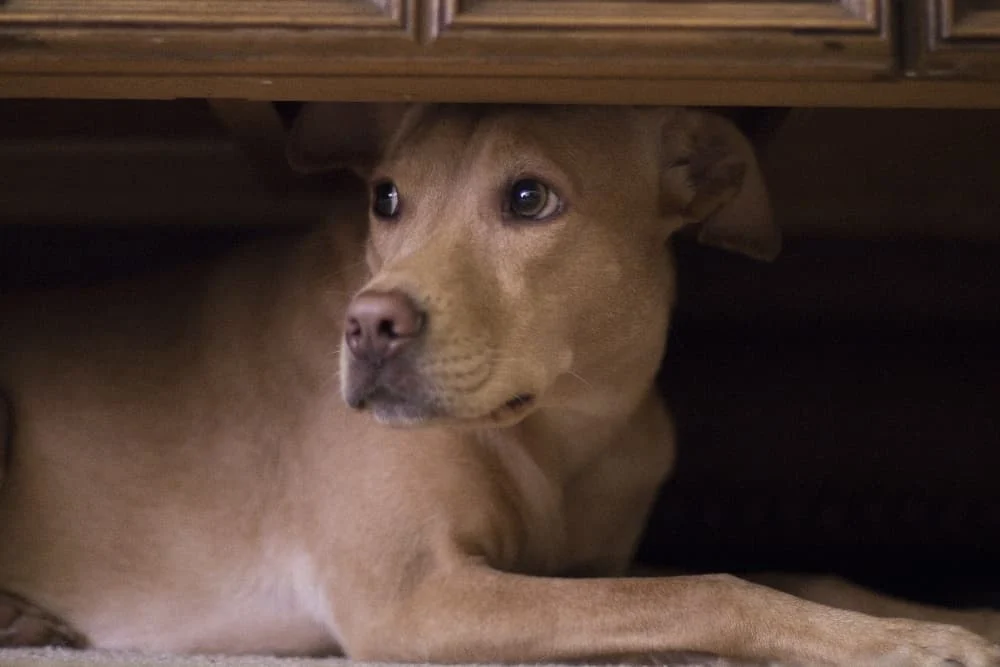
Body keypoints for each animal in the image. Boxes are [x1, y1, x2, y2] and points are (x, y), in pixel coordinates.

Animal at [1, 105, 1000, 667]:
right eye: (386, 198)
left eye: (529, 199)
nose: (366, 329)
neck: (567, 424)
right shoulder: (417, 597)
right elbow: (711, 588)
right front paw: (899, 646)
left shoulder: (587, 567)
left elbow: (792, 569)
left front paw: (951, 615)